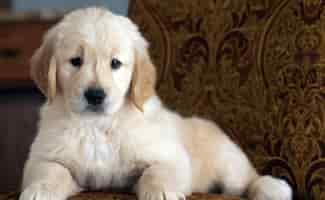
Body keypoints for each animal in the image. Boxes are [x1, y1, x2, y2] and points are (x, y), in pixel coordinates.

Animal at [20, 7, 292, 200]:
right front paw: (39, 191)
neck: (98, 125)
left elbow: (157, 171)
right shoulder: (42, 157)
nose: (95, 95)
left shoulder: (170, 157)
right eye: (75, 61)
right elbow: (50, 170)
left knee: (248, 179)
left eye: (115, 63)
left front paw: (161, 193)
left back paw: (273, 188)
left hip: (228, 163)